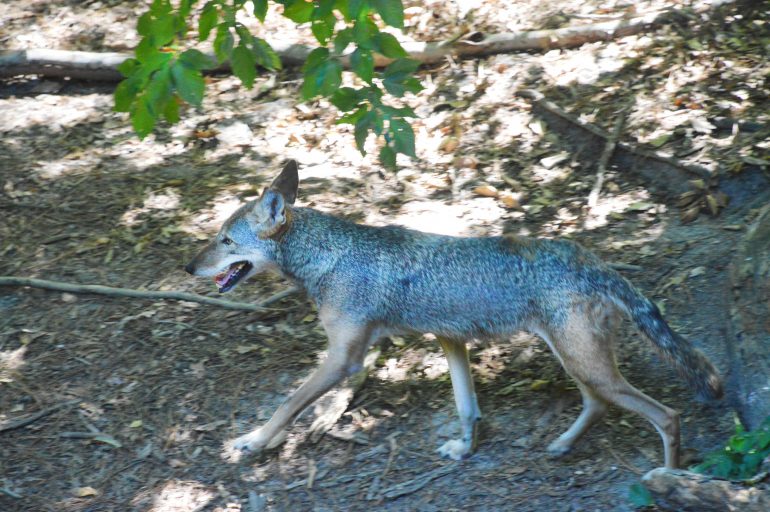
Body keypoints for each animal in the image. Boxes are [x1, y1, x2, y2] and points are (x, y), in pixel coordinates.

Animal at [185, 160, 723, 468]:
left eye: (225, 241)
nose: (188, 267)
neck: (331, 257)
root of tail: (593, 261)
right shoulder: (450, 340)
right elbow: (467, 408)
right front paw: (465, 449)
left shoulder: (343, 360)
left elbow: (287, 404)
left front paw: (254, 441)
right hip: (580, 364)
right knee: (599, 405)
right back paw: (562, 446)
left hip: (586, 364)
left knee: (666, 415)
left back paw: (667, 476)